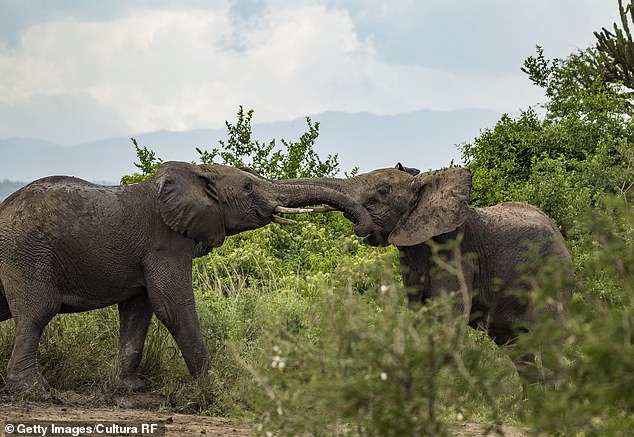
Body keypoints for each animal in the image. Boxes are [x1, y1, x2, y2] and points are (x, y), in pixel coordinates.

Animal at [0, 161, 376, 392]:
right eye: (248, 186)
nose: (362, 228)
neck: (195, 175)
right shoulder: (165, 243)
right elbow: (172, 306)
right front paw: (214, 388)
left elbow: (139, 311)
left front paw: (130, 388)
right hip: (28, 255)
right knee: (38, 311)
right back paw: (34, 389)